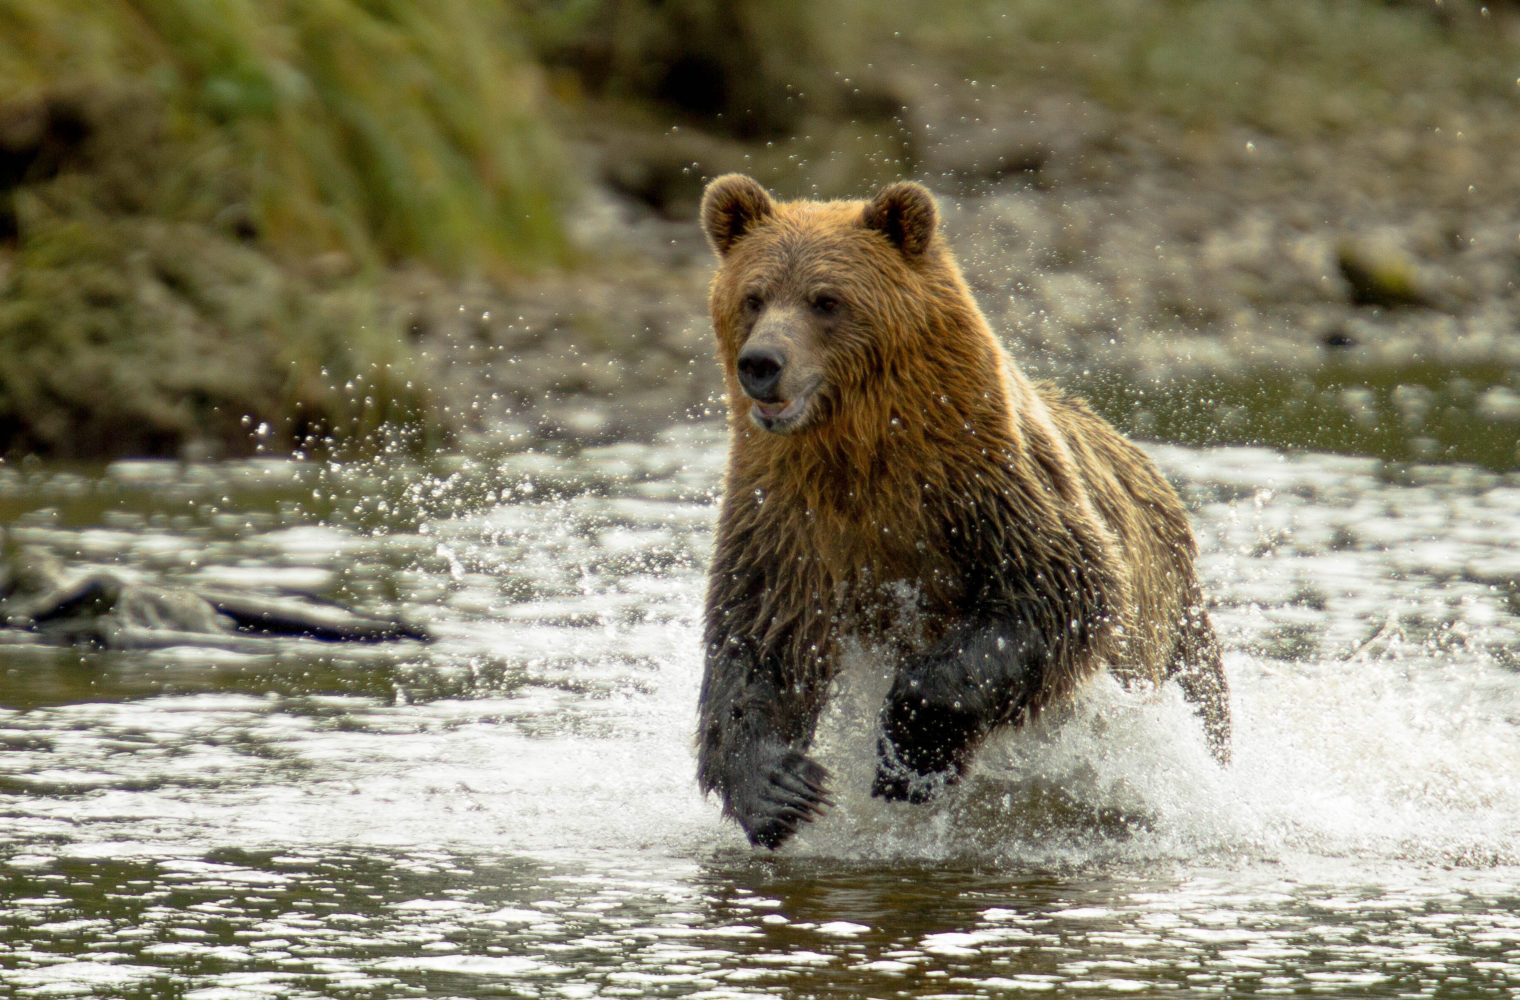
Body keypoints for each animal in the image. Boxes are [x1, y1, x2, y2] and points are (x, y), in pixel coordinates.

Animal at [696, 175, 1228, 844]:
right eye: (753, 296)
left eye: (826, 300)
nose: (762, 363)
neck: (860, 453)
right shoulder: (785, 516)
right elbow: (761, 640)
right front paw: (781, 788)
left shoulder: (985, 484)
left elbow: (1055, 593)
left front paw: (908, 756)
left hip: (1176, 628)